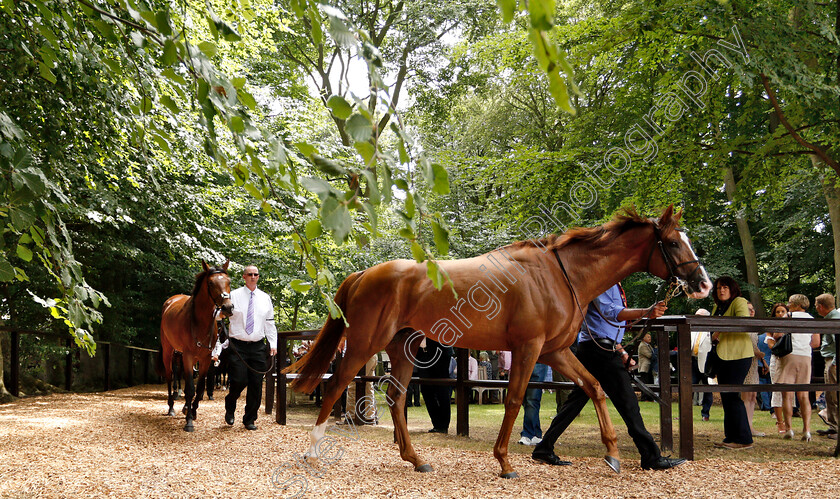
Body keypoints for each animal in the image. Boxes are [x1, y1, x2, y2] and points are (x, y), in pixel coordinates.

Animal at [159, 260, 233, 432]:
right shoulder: (187, 356)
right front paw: (189, 422)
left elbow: (199, 388)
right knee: (170, 375)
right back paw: (171, 407)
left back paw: (186, 407)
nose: (227, 307)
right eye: (211, 283)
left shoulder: (205, 359)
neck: (199, 322)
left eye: (229, 281)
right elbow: (191, 388)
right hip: (168, 351)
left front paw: (192, 411)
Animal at [284, 206, 708, 476]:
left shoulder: (555, 351)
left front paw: (614, 454)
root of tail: (364, 274)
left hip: (404, 347)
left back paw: (416, 459)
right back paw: (311, 452)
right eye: (673, 243)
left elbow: (595, 387)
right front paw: (504, 462)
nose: (702, 283)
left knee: (397, 398)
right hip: (364, 343)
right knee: (336, 386)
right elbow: (516, 399)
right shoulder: (529, 348)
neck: (560, 274)